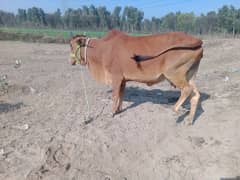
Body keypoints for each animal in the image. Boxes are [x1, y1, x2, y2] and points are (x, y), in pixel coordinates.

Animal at [69, 29, 202, 125]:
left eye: (71, 45)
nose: (71, 61)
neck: (103, 49)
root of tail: (197, 40)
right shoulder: (123, 80)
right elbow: (121, 95)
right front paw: (118, 109)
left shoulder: (116, 77)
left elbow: (115, 96)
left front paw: (112, 112)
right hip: (189, 75)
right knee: (195, 95)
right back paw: (189, 120)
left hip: (173, 73)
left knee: (187, 90)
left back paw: (175, 109)